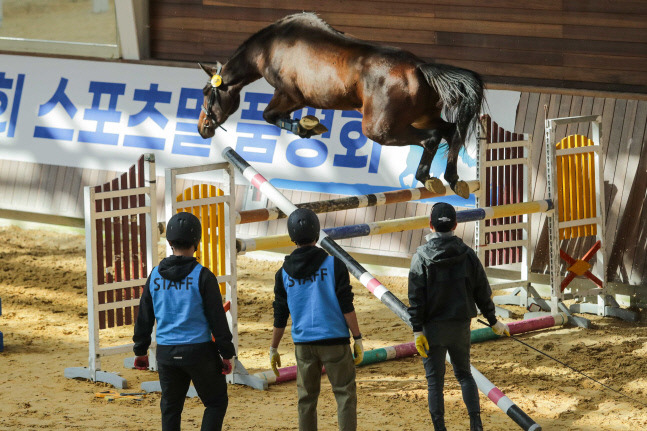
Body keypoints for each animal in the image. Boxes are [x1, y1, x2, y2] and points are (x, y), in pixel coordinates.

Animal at [200, 11, 484, 197]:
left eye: (205, 93)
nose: (202, 128)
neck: (270, 47)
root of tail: (420, 68)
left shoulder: (290, 95)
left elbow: (268, 115)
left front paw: (304, 127)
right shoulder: (293, 98)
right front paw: (308, 126)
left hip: (381, 129)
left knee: (432, 138)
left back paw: (426, 177)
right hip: (421, 117)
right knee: (451, 131)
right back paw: (453, 178)